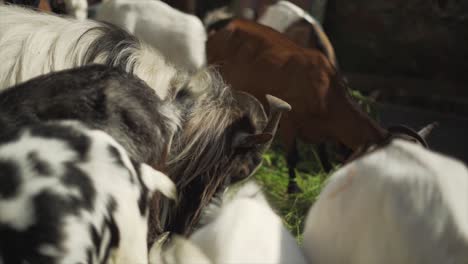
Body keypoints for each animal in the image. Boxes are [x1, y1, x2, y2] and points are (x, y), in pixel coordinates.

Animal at [207, 18, 390, 192]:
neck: (327, 93)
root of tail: (226, 23)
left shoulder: (321, 130)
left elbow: (323, 156)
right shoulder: (288, 122)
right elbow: (293, 157)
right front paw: (293, 188)